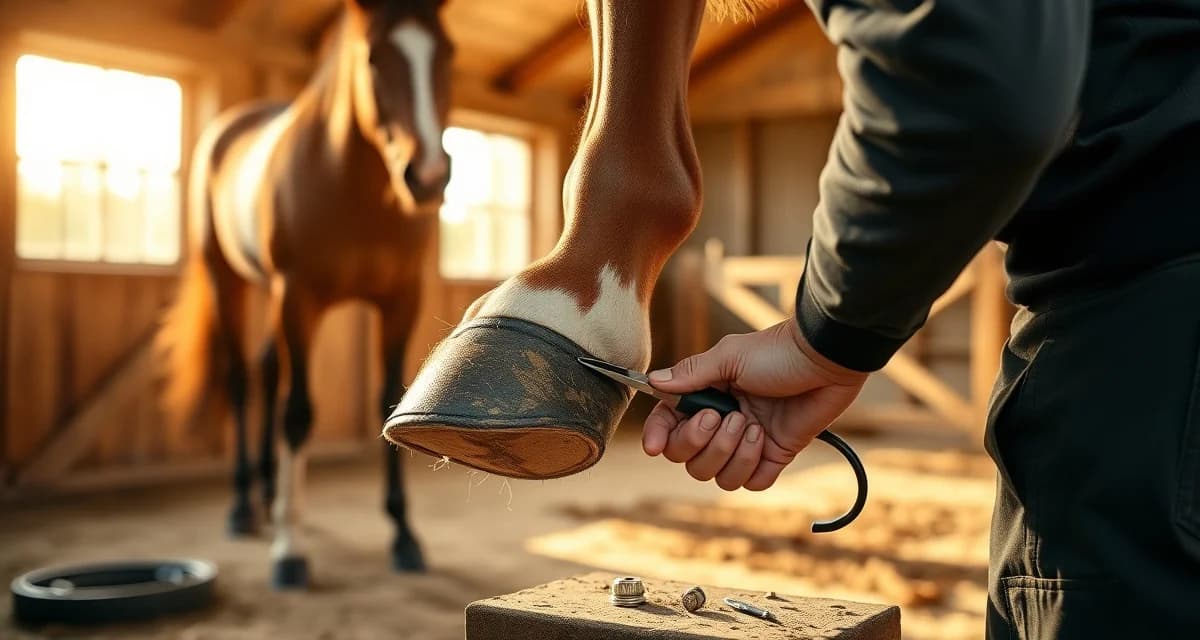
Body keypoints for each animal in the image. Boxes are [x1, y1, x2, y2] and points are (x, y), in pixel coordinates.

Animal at [156, 0, 453, 589]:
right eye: (374, 57)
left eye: (447, 53)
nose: (429, 176)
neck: (355, 187)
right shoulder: (299, 297)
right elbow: (297, 412)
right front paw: (288, 549)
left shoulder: (399, 302)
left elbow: (389, 400)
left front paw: (404, 536)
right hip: (233, 283)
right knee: (242, 378)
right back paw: (245, 507)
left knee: (269, 368)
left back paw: (273, 491)